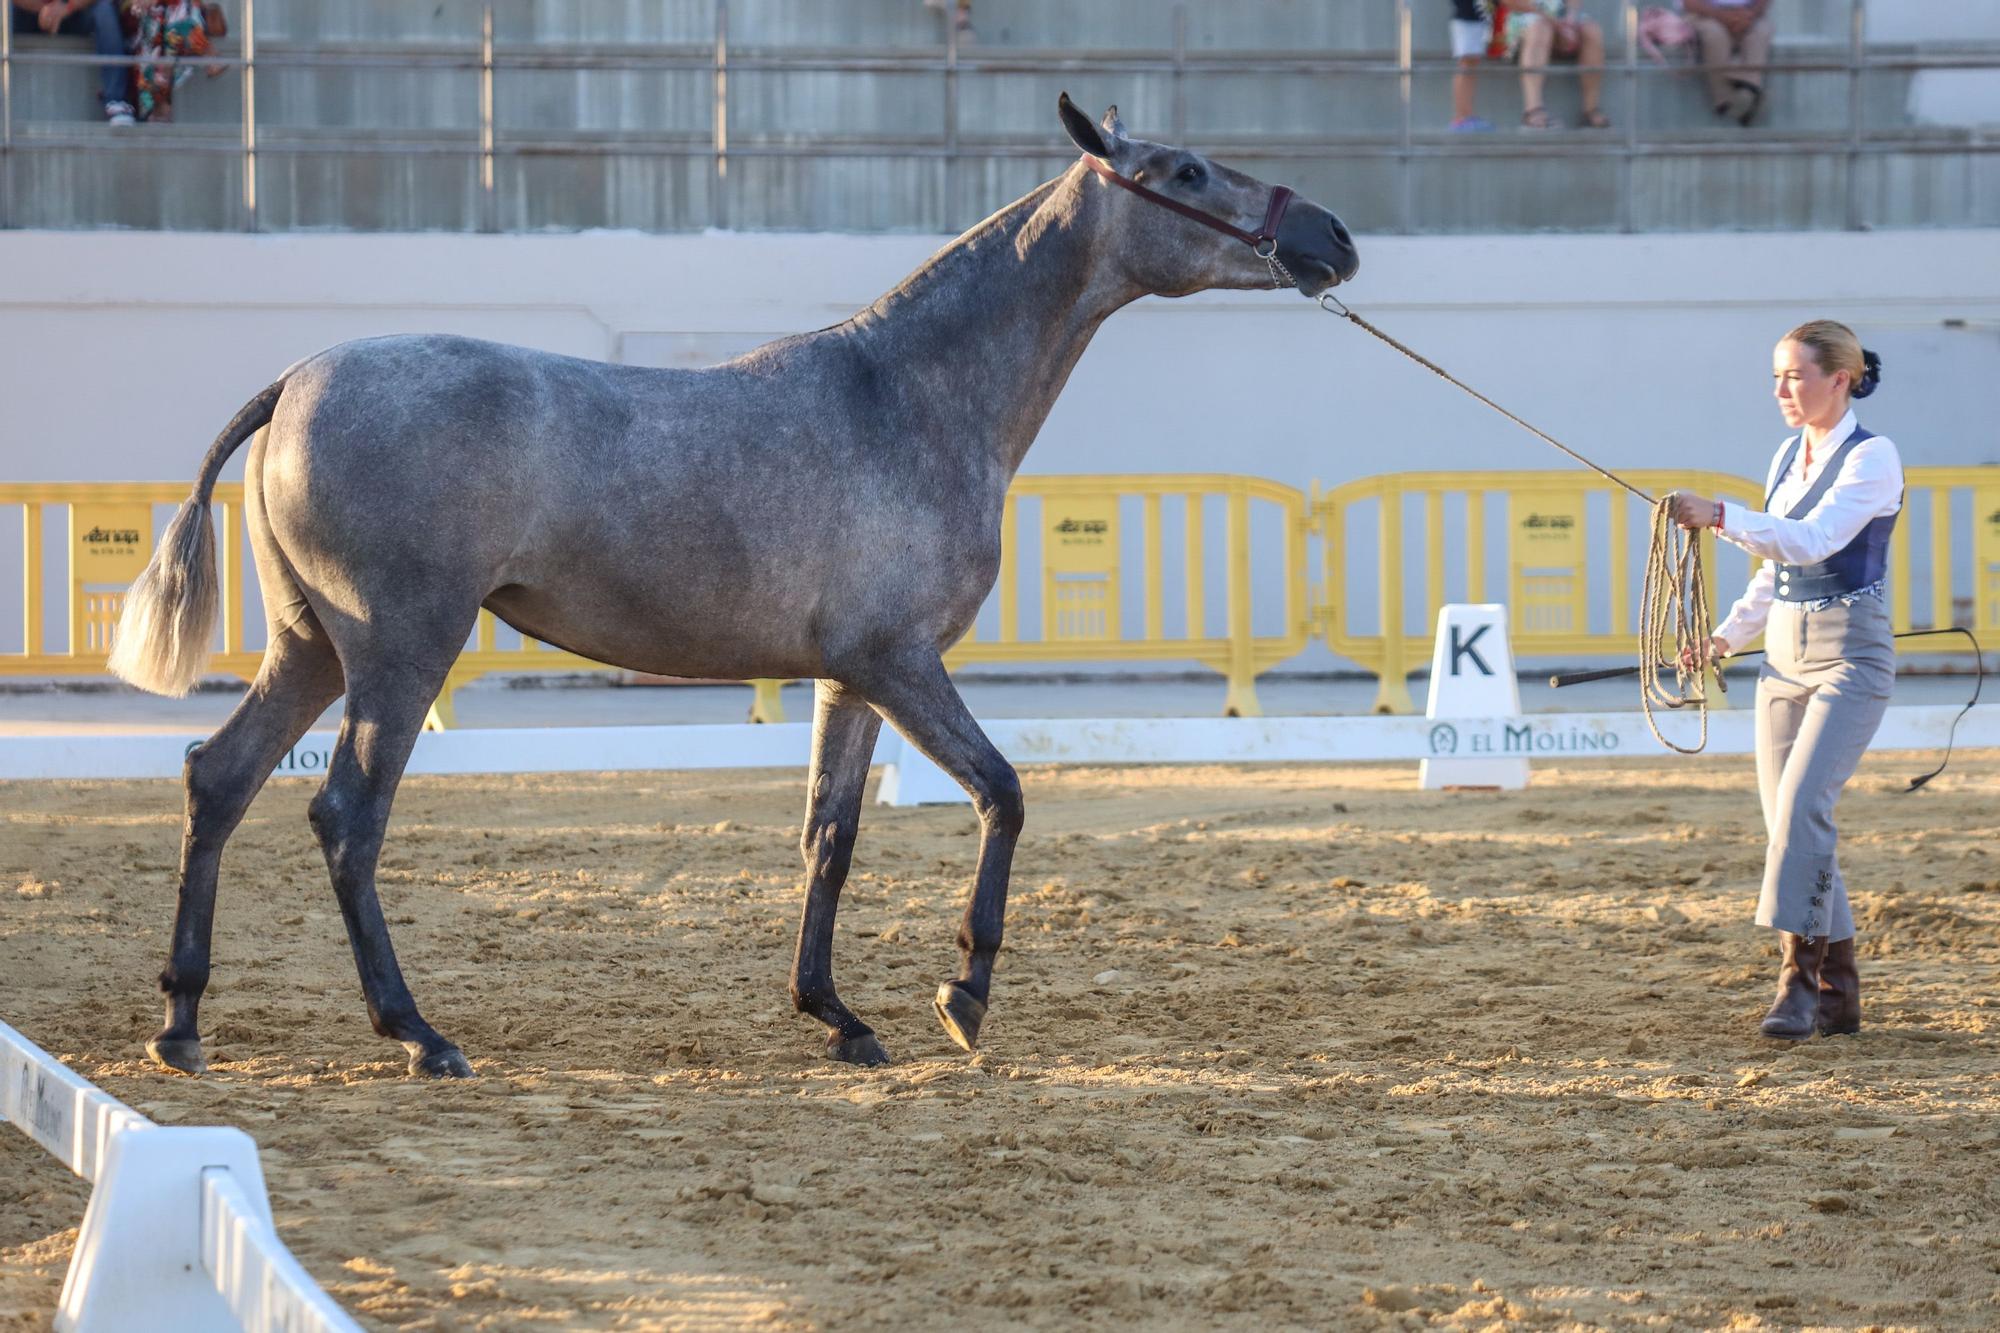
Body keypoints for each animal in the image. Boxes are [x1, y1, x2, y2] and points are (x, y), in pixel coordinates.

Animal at [109, 93, 1360, 1072]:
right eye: (1185, 172)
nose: (1334, 238)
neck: (903, 393)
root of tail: (297, 378)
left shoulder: (849, 678)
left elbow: (828, 836)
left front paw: (836, 1015)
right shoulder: (902, 662)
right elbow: (1002, 793)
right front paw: (962, 994)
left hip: (311, 648)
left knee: (218, 779)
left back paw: (181, 1022)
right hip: (399, 650)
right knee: (346, 817)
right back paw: (416, 1033)